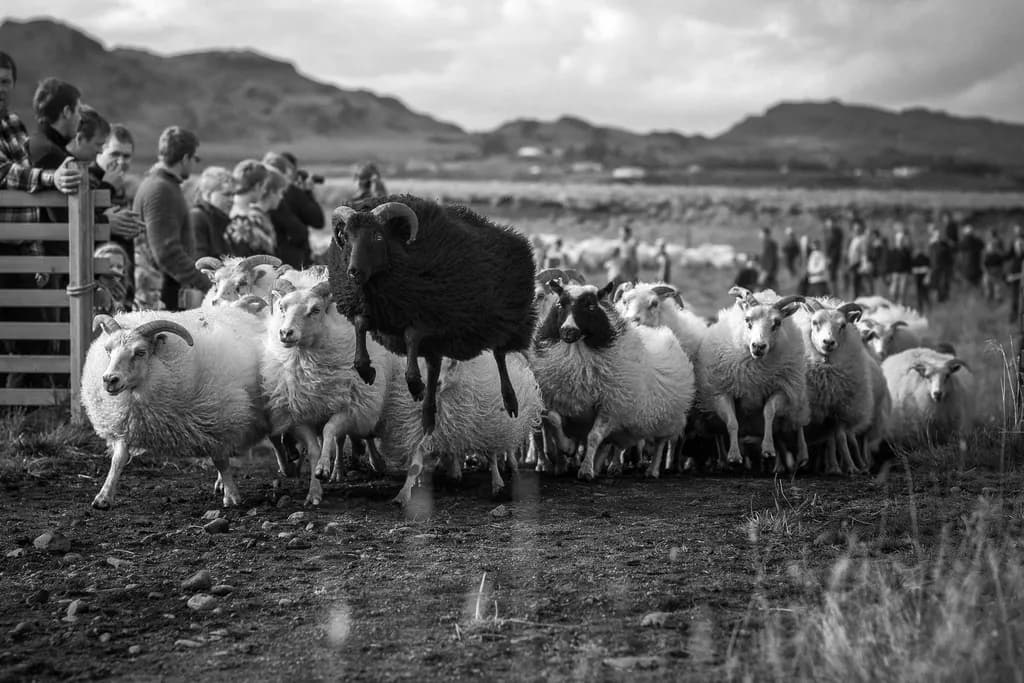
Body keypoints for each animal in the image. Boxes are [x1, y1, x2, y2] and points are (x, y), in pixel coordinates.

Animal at [83, 305, 269, 509]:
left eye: (140, 352)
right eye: (108, 350)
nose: (109, 380)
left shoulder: (217, 422)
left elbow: (220, 460)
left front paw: (232, 497)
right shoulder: (128, 423)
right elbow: (118, 460)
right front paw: (103, 497)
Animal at [327, 195, 537, 434]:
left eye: (378, 236)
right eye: (346, 237)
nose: (354, 271)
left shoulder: (433, 317)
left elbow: (410, 335)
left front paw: (415, 384)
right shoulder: (379, 313)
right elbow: (361, 324)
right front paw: (366, 370)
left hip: (505, 320)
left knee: (500, 355)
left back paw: (510, 402)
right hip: (445, 341)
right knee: (435, 367)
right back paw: (428, 417)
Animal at [530, 279, 695, 481]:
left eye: (591, 306)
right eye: (560, 305)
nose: (568, 331)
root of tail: (663, 332)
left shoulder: (610, 406)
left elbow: (593, 437)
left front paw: (585, 471)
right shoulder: (559, 401)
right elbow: (554, 420)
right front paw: (568, 449)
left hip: (668, 418)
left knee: (660, 443)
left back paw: (652, 470)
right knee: (607, 444)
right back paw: (600, 465)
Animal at [695, 287, 809, 471]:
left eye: (777, 323)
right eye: (747, 320)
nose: (758, 346)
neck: (755, 372)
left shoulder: (782, 390)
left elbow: (769, 412)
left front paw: (768, 449)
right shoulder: (721, 392)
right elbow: (732, 423)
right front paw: (734, 456)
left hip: (796, 398)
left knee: (797, 425)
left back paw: (802, 456)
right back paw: (723, 461)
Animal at [793, 299, 876, 475]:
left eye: (843, 325)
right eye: (815, 322)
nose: (828, 342)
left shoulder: (838, 408)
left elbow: (840, 439)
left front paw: (850, 467)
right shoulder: (804, 402)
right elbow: (800, 429)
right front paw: (801, 459)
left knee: (840, 439)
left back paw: (846, 466)